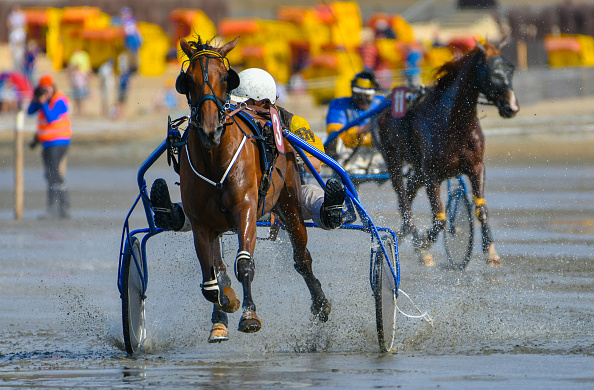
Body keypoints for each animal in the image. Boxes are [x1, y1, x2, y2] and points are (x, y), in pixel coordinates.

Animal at [176, 37, 330, 338]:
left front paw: (249, 315)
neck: (214, 158)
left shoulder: (245, 208)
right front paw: (225, 304)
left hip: (288, 202)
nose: (210, 130)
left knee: (302, 258)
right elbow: (211, 281)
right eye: (188, 80)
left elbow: (244, 263)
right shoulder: (201, 223)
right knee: (219, 267)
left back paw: (320, 302)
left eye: (226, 78)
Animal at [372, 38, 516, 266]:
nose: (512, 106)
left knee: (409, 194)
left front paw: (491, 251)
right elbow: (440, 219)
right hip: (392, 158)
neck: (453, 122)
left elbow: (481, 209)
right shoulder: (432, 175)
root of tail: (383, 111)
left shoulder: (476, 167)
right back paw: (416, 244)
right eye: (493, 72)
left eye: (511, 69)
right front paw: (423, 243)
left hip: (418, 170)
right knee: (404, 202)